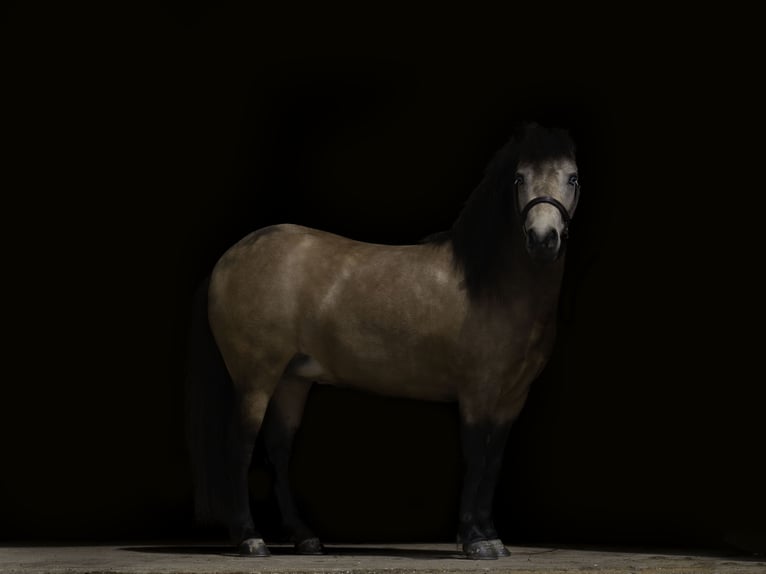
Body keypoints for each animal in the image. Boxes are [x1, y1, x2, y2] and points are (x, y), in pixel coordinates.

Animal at [186, 122, 581, 560]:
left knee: (278, 451)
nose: (543, 239)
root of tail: (228, 259)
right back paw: (251, 539)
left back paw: (305, 538)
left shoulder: (512, 398)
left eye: (572, 178)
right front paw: (475, 540)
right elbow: (477, 458)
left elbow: (493, 464)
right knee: (239, 448)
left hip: (292, 380)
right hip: (255, 379)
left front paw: (491, 537)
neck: (490, 285)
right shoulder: (478, 392)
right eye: (519, 178)